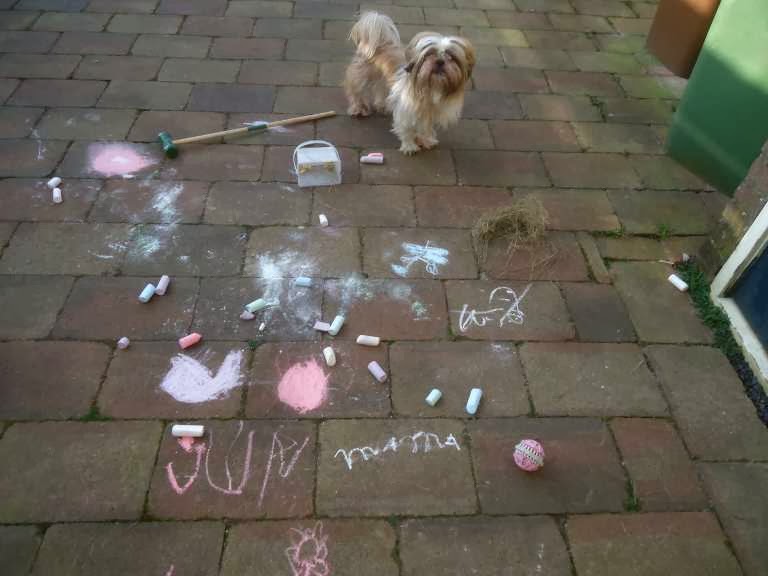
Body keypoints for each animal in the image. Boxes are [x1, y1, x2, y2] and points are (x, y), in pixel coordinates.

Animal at [343, 12, 476, 155]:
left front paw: (426, 140)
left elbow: (425, 128)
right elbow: (406, 129)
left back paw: (383, 106)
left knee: (380, 89)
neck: (431, 86)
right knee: (356, 92)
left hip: (382, 80)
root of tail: (380, 41)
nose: (440, 61)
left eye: (451, 57)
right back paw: (358, 109)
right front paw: (409, 146)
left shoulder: (428, 113)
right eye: (429, 54)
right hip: (360, 77)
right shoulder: (405, 110)